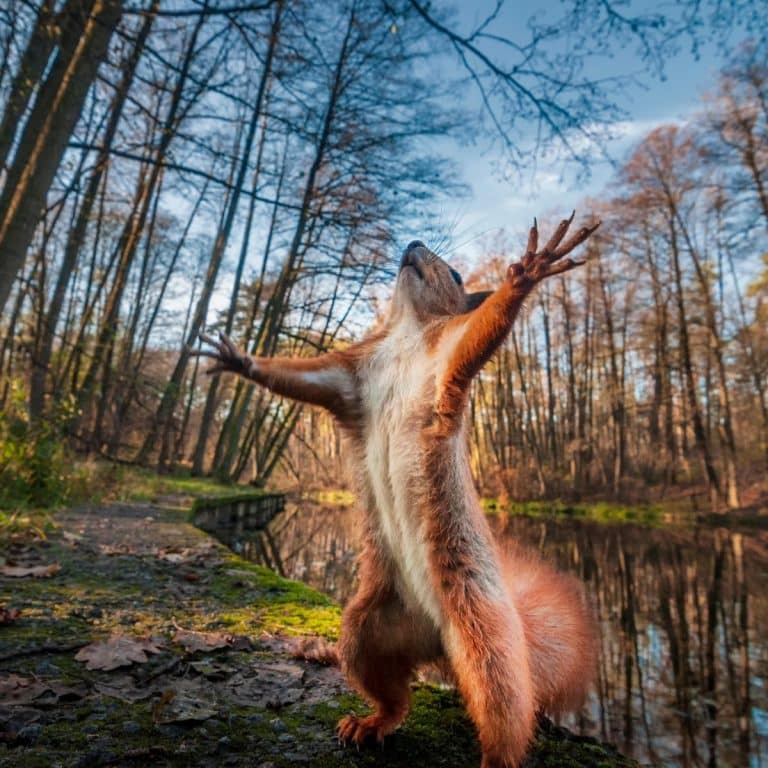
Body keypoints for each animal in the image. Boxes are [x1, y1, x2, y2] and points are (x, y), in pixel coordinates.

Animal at [194, 213, 600, 768]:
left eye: (455, 273)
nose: (412, 242)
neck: (406, 331)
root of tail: (438, 643)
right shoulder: (350, 379)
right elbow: (300, 379)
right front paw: (240, 360)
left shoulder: (448, 356)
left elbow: (483, 331)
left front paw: (527, 272)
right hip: (368, 629)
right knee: (393, 694)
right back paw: (371, 723)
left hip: (485, 635)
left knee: (504, 710)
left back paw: (494, 755)